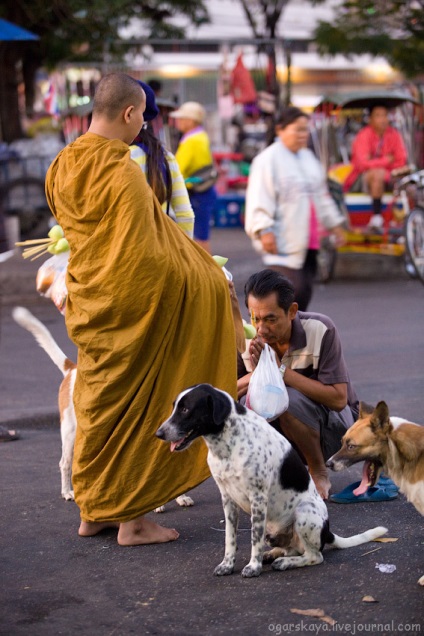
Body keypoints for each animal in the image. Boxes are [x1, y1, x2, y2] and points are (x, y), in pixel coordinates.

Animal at [11, 308, 194, 512]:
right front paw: (157, 504)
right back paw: (67, 492)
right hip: (70, 432)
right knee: (65, 463)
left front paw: (180, 497)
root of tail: (72, 369)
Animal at [156, 386, 388, 580]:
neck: (227, 445)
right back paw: (274, 554)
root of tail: (326, 531)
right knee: (292, 548)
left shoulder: (258, 498)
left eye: (185, 409)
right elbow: (230, 539)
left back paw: (285, 562)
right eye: (175, 407)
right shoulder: (228, 499)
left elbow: (254, 539)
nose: (158, 433)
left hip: (303, 513)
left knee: (314, 556)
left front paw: (253, 567)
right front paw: (228, 565)